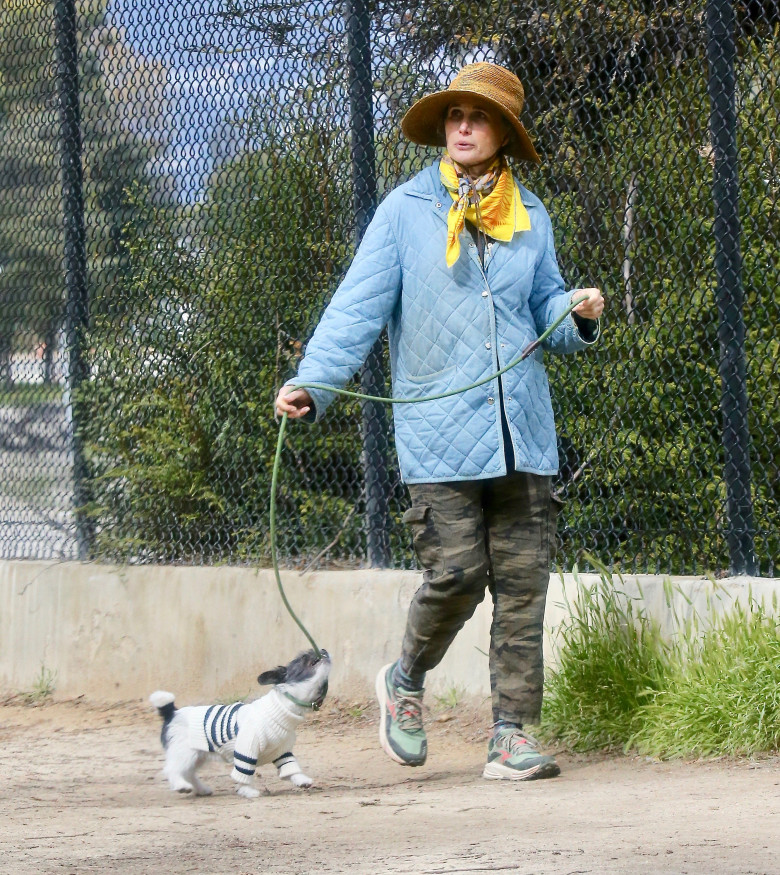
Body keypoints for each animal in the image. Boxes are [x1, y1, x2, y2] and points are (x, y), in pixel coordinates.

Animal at [149, 652, 330, 800]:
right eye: (305, 657)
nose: (323, 650)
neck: (279, 708)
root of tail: (172, 713)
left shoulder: (281, 751)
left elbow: (289, 766)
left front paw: (301, 779)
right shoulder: (246, 749)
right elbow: (244, 771)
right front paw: (247, 791)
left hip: (198, 756)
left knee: (189, 773)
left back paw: (201, 789)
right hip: (185, 753)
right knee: (173, 769)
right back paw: (181, 786)